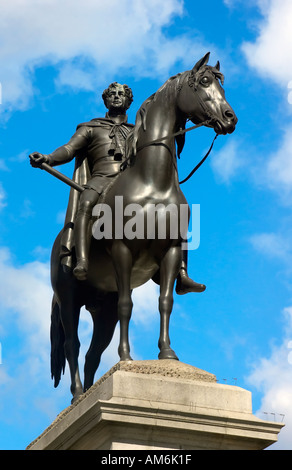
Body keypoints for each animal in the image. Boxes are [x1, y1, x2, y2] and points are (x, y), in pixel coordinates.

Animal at [49, 53, 237, 402]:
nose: (230, 118)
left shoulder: (171, 250)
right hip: (68, 297)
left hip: (102, 309)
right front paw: (126, 358)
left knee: (93, 352)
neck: (153, 184)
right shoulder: (123, 250)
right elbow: (129, 304)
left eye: (221, 84)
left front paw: (167, 354)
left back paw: (93, 389)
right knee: (72, 344)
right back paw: (79, 395)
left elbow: (166, 302)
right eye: (204, 82)